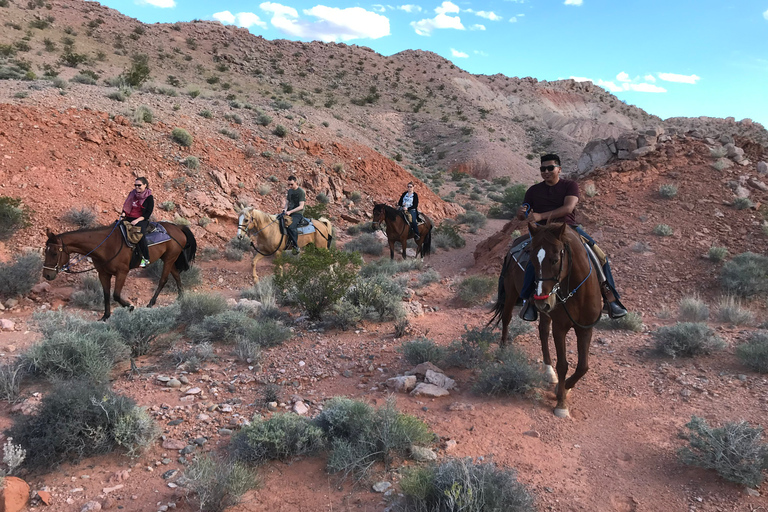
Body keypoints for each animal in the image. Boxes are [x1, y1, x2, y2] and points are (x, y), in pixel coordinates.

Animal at [41, 221, 198, 320]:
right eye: (45, 251)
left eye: (54, 253)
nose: (47, 275)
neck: (105, 246)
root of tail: (178, 227)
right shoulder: (103, 274)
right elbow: (106, 294)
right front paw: (105, 316)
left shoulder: (122, 272)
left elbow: (116, 295)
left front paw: (130, 307)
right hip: (168, 258)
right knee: (176, 275)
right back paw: (181, 297)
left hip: (170, 258)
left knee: (163, 279)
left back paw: (151, 303)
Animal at [486, 222, 608, 418]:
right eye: (532, 261)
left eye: (555, 259)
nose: (542, 300)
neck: (578, 293)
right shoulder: (560, 328)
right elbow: (563, 365)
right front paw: (561, 403)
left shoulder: (585, 328)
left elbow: (583, 366)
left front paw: (563, 387)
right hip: (511, 293)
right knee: (506, 318)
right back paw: (503, 350)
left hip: (544, 312)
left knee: (543, 331)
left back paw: (548, 371)